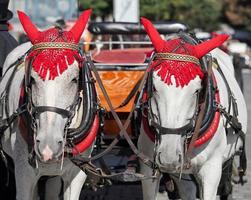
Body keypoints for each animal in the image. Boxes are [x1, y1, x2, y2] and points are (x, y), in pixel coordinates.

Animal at [137, 17, 247, 200]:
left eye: (197, 90)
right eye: (154, 88)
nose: (168, 156)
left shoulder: (212, 169)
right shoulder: (147, 168)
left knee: (226, 187)